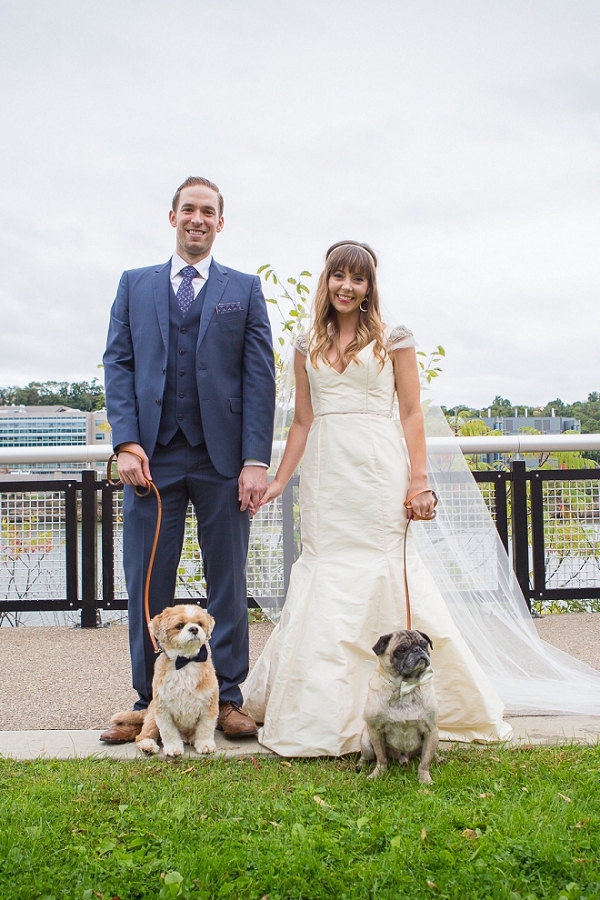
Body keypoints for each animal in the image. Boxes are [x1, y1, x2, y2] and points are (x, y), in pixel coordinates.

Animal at [112, 600, 218, 756]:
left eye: (199, 623)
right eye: (179, 625)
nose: (194, 629)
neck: (184, 662)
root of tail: (146, 710)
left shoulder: (208, 706)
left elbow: (205, 728)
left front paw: (205, 744)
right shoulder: (163, 710)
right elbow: (169, 732)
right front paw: (173, 748)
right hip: (152, 719)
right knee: (141, 736)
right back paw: (148, 746)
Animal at [354, 628, 438, 784]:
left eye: (424, 644)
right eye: (401, 650)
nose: (417, 649)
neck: (405, 686)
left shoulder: (431, 730)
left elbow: (425, 761)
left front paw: (424, 778)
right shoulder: (376, 731)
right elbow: (381, 758)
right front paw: (378, 774)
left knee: (430, 754)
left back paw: (438, 758)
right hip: (367, 741)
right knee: (367, 756)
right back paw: (360, 766)